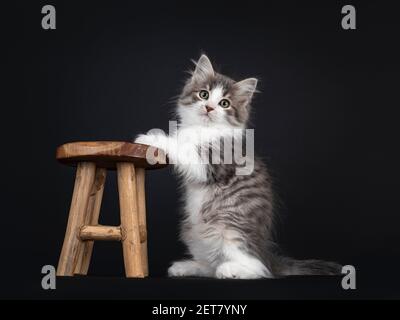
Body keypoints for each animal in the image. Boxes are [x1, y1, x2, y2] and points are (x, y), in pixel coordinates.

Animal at [135, 54, 340, 278]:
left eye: (224, 103)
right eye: (204, 94)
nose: (209, 108)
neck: (203, 129)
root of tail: (267, 255)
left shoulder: (211, 163)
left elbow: (182, 148)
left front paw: (151, 138)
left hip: (230, 227)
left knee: (257, 268)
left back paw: (231, 270)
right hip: (193, 231)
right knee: (210, 265)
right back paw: (185, 267)